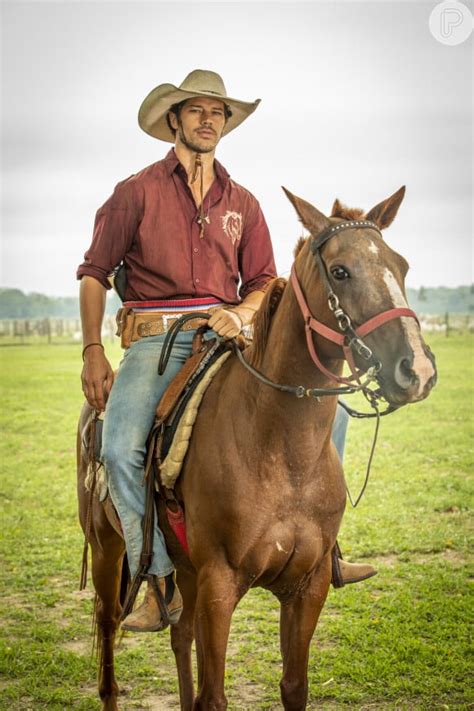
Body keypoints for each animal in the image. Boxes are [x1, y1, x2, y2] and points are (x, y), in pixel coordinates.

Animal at [77, 186, 436, 708]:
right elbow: (214, 696)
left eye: (401, 266)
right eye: (340, 271)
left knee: (179, 635)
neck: (281, 454)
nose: (417, 369)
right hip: (109, 549)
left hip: (184, 572)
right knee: (108, 629)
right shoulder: (220, 585)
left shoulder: (307, 588)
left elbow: (293, 686)